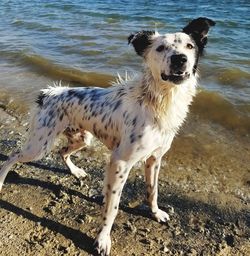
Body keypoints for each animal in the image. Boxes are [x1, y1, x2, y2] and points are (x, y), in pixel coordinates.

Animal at [0, 17, 215, 256]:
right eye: (160, 48)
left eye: (190, 46)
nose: (180, 59)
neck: (157, 100)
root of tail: (49, 93)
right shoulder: (120, 162)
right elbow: (112, 207)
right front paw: (103, 239)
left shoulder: (154, 159)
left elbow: (153, 191)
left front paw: (156, 213)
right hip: (39, 145)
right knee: (12, 156)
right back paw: (1, 181)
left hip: (81, 138)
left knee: (62, 152)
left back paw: (76, 171)